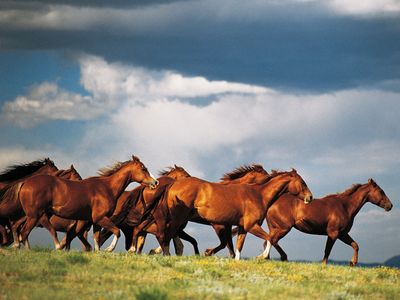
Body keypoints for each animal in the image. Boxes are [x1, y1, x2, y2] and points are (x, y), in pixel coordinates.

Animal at [8, 155, 158, 251]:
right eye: (144, 168)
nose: (155, 182)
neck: (106, 188)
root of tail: (25, 183)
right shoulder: (100, 218)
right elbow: (116, 231)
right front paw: (109, 249)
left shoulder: (96, 221)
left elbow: (96, 239)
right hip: (35, 215)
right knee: (25, 232)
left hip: (34, 214)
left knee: (20, 229)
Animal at [153, 169, 312, 258]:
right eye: (303, 183)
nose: (310, 197)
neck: (258, 195)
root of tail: (173, 184)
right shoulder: (250, 226)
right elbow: (270, 239)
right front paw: (263, 256)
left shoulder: (241, 227)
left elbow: (237, 247)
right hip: (178, 218)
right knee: (166, 235)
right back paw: (165, 254)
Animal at [264, 178, 392, 264]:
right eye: (381, 191)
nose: (390, 206)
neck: (345, 206)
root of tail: (272, 204)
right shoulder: (333, 233)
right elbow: (327, 251)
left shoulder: (342, 234)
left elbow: (355, 245)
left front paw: (352, 263)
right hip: (283, 228)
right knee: (272, 240)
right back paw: (280, 258)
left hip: (275, 228)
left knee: (268, 241)